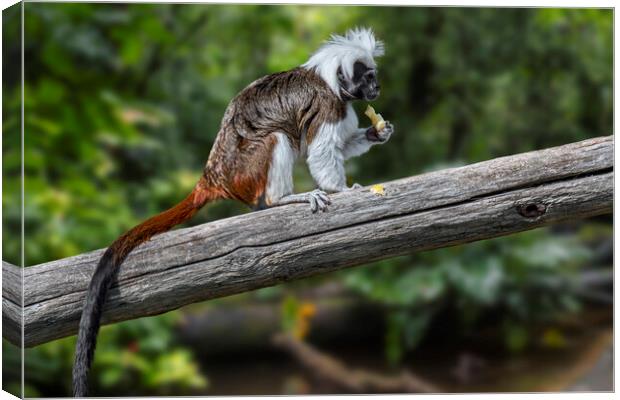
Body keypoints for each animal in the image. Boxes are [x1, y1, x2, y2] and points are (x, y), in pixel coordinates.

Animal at [71, 27, 392, 396]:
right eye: (368, 78)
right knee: (277, 138)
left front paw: (378, 131)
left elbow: (340, 144)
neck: (330, 82)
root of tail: (214, 174)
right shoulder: (328, 105)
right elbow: (322, 151)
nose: (377, 89)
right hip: (246, 167)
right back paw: (281, 200)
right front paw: (340, 190)